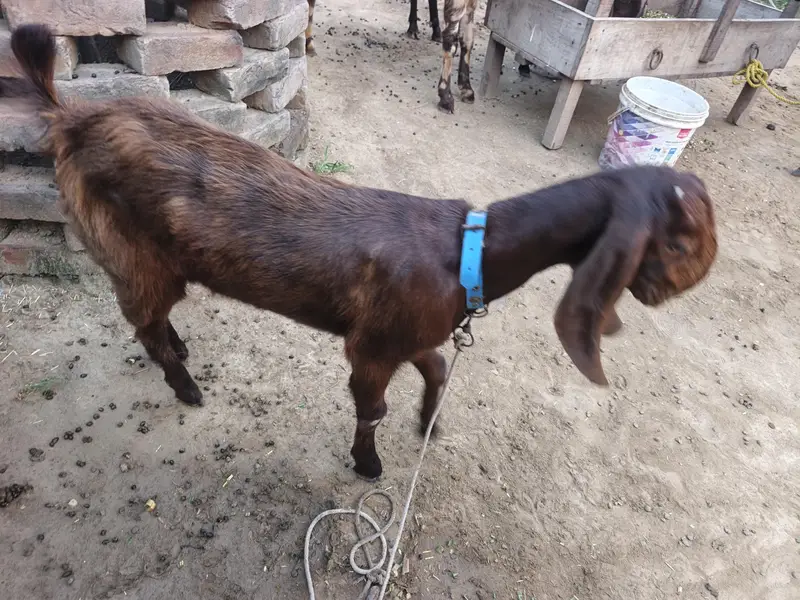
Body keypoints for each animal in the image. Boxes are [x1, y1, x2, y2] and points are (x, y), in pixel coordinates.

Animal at [2, 25, 717, 480]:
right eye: (680, 239)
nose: (677, 288)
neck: (466, 253)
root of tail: (72, 118)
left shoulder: (409, 332)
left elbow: (438, 369)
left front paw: (429, 426)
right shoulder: (371, 348)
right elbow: (372, 410)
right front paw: (368, 465)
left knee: (154, 324)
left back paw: (182, 350)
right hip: (132, 253)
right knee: (145, 324)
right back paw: (187, 388)